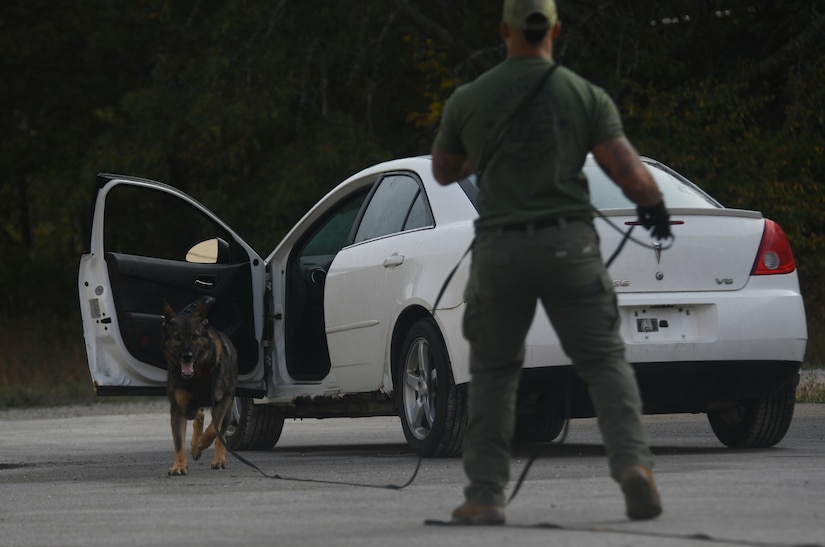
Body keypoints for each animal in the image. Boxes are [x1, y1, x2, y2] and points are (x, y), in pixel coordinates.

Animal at [162, 300, 237, 476]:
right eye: (177, 337)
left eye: (195, 337)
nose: (187, 356)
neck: (197, 376)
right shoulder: (178, 409)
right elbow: (179, 442)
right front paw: (179, 465)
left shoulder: (223, 400)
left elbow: (213, 430)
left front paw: (200, 444)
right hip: (189, 408)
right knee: (199, 414)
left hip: (228, 410)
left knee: (221, 433)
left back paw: (218, 459)